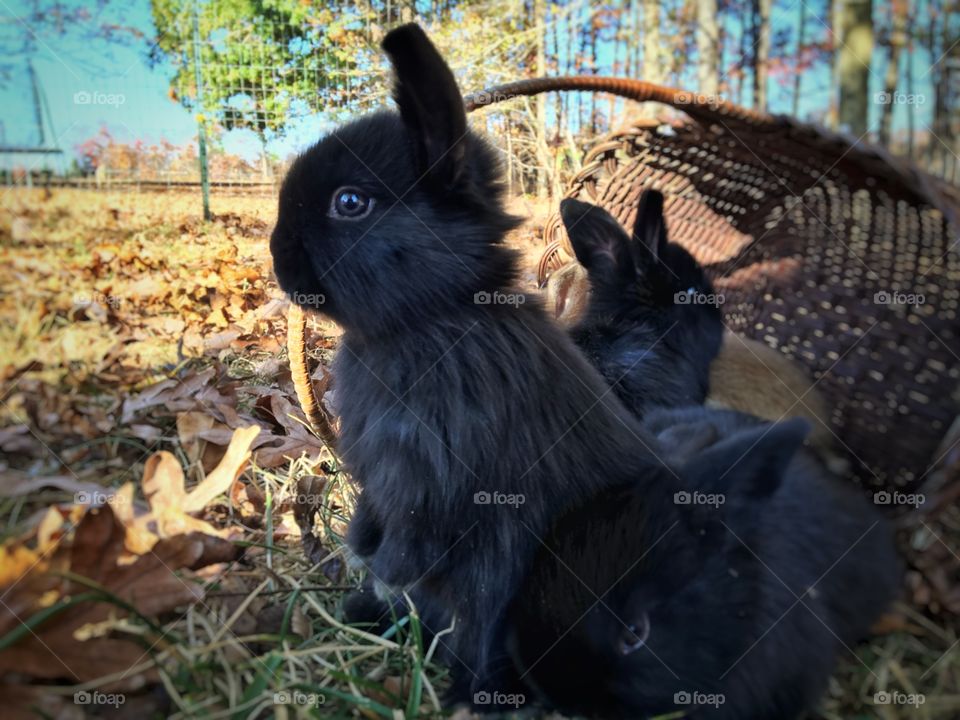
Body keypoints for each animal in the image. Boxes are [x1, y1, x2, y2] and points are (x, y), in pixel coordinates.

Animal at [270, 23, 667, 699]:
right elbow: (375, 518)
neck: (433, 317)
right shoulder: (380, 475)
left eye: (349, 203)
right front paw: (360, 552)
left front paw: (379, 564)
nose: (276, 257)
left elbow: (410, 535)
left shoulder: (428, 477)